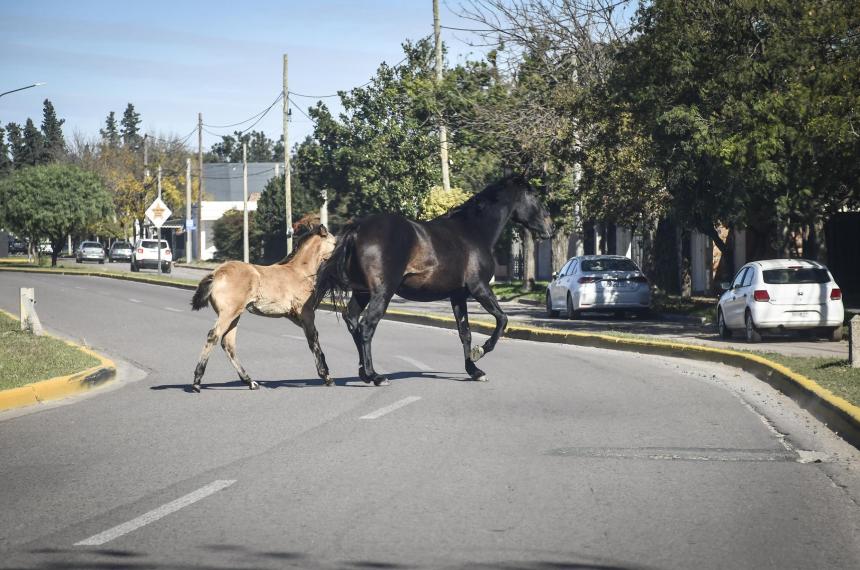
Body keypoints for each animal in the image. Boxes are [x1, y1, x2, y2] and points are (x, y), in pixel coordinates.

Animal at [189, 224, 336, 392]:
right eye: (335, 243)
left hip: (235, 315)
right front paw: (326, 376)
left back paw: (250, 381)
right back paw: (197, 381)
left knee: (228, 343)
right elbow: (313, 340)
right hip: (229, 313)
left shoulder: (294, 316)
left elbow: (314, 337)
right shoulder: (306, 314)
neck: (300, 272)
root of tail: (217, 273)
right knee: (213, 336)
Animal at [315, 174, 554, 386]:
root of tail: (357, 229)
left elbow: (465, 332)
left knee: (353, 320)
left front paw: (474, 370)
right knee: (366, 327)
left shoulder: (458, 295)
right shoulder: (480, 288)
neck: (473, 231)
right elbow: (502, 319)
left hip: (362, 292)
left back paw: (364, 373)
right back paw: (375, 376)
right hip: (382, 293)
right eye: (534, 196)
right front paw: (480, 352)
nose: (549, 228)